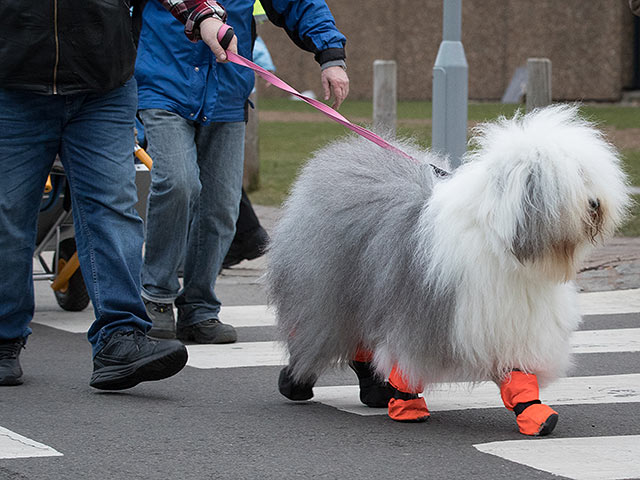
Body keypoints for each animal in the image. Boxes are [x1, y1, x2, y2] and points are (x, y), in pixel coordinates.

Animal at [264, 105, 632, 436]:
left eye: (586, 173)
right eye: (568, 179)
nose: (596, 204)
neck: (500, 241)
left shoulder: (509, 318)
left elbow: (517, 373)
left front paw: (535, 414)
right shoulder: (420, 308)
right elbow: (406, 361)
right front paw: (408, 407)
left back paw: (373, 391)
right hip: (326, 289)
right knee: (316, 332)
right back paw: (295, 381)